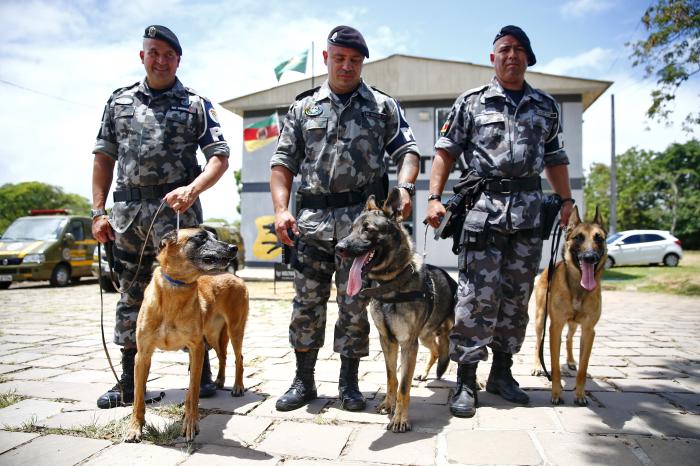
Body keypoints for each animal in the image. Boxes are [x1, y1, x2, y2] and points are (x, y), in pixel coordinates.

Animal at [125, 228, 249, 442]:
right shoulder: (142, 355)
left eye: (215, 236)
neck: (177, 288)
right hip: (213, 335)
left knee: (238, 357)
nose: (234, 247)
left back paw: (237, 387)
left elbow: (193, 392)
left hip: (234, 330)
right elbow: (138, 397)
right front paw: (135, 428)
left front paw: (190, 424)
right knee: (223, 356)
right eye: (200, 237)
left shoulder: (196, 349)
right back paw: (219, 381)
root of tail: (236, 277)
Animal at [336, 187, 456, 434]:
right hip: (426, 335)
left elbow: (403, 386)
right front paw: (388, 405)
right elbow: (392, 377)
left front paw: (400, 419)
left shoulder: (408, 344)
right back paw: (425, 373)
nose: (339, 248)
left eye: (368, 229)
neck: (391, 284)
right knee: (437, 350)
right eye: (351, 229)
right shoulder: (387, 340)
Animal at [532, 206, 608, 406]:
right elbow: (554, 365)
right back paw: (537, 366)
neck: (578, 288)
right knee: (538, 343)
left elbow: (583, 369)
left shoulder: (589, 331)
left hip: (574, 324)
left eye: (599, 238)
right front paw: (556, 392)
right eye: (578, 237)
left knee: (569, 338)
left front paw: (580, 394)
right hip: (540, 320)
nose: (589, 257)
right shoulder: (555, 327)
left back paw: (571, 361)